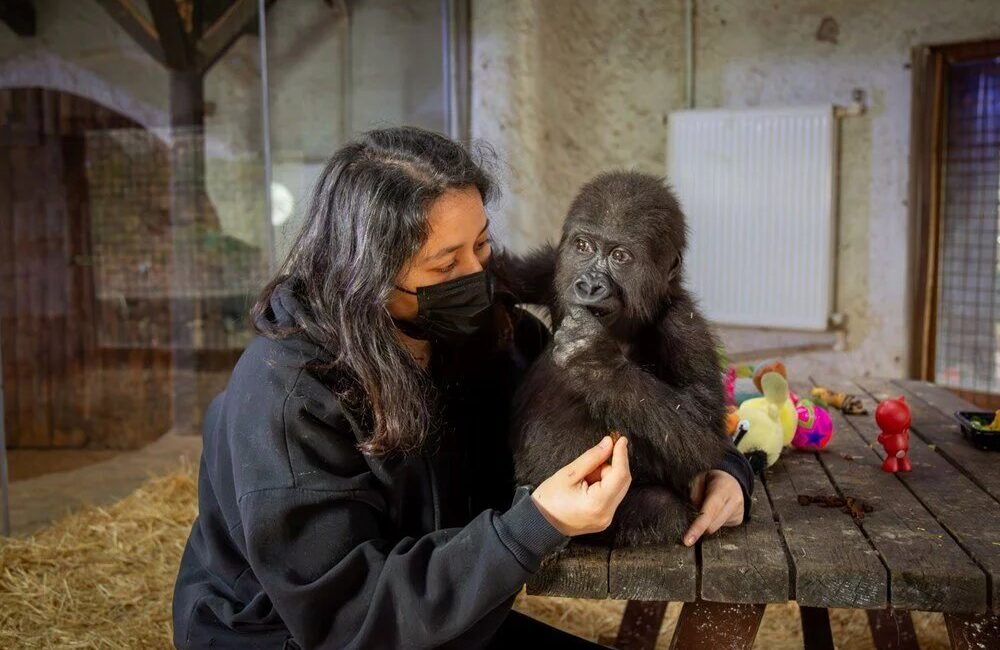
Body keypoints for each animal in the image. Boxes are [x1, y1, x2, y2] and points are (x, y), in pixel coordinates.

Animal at [512, 170, 732, 544]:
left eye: (620, 256)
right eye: (583, 247)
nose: (589, 286)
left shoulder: (685, 326)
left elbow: (705, 434)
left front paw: (594, 360)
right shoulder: (554, 273)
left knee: (663, 507)